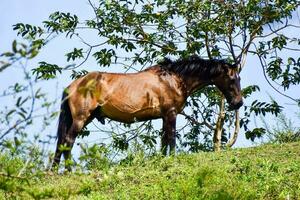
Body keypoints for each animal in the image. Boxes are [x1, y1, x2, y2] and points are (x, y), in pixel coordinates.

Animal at [52, 54, 244, 170]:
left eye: (239, 78)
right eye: (232, 78)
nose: (238, 103)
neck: (174, 79)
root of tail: (73, 85)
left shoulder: (164, 116)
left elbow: (164, 141)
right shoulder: (171, 113)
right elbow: (171, 139)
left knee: (63, 142)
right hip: (81, 119)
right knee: (68, 141)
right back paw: (69, 171)